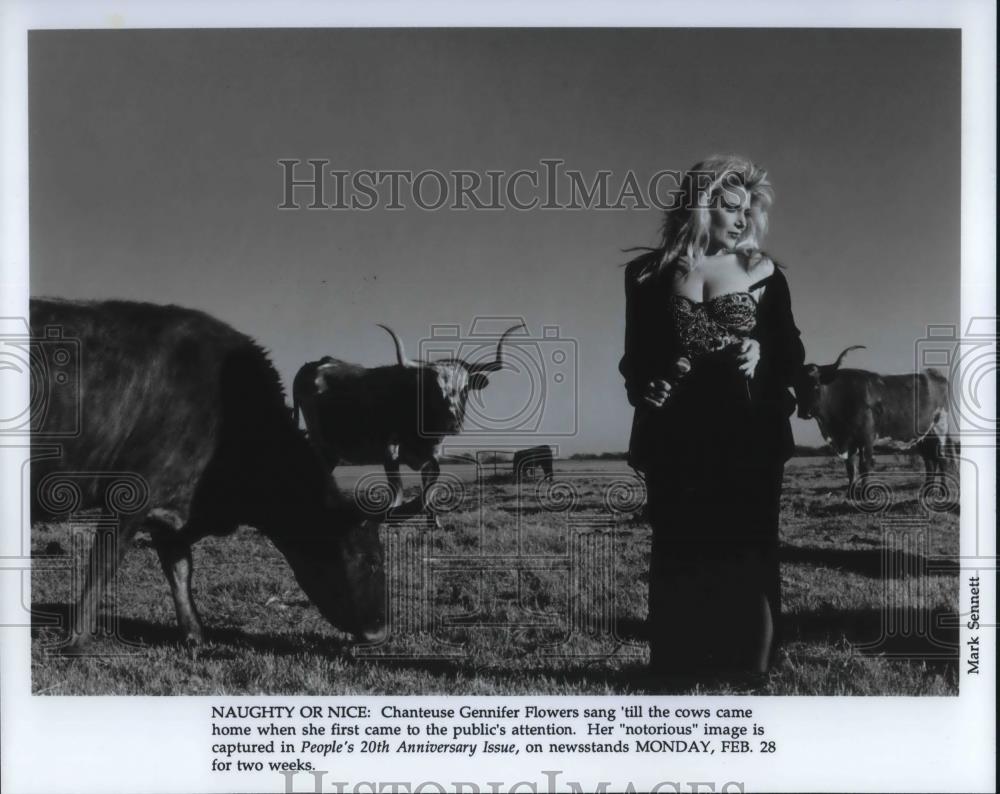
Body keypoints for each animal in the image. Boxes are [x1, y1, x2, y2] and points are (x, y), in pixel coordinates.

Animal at [28, 296, 386, 648]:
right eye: (372, 560)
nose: (380, 633)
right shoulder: (130, 495)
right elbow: (103, 565)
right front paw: (77, 639)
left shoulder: (170, 511)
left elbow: (180, 569)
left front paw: (195, 635)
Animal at [788, 344, 952, 486]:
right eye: (796, 387)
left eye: (816, 384)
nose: (804, 412)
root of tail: (934, 374)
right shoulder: (848, 442)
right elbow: (850, 469)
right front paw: (850, 495)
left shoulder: (866, 439)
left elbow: (864, 467)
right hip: (924, 436)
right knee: (930, 462)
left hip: (940, 429)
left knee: (942, 460)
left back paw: (944, 492)